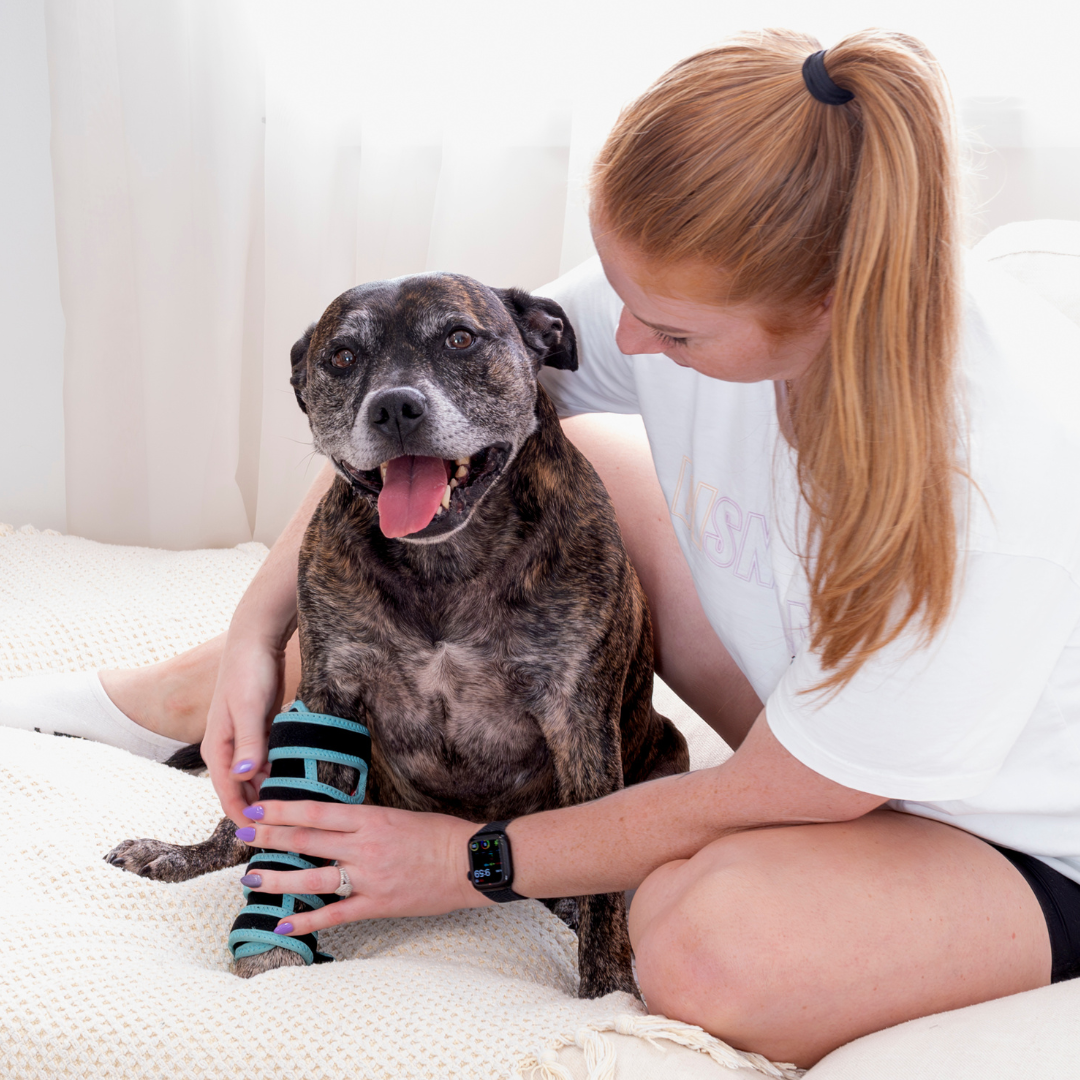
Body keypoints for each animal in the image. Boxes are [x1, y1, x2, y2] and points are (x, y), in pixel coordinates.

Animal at [105, 272, 686, 993]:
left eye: (460, 338)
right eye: (343, 357)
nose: (395, 408)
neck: (446, 562)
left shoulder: (577, 722)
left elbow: (605, 889)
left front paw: (607, 992)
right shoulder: (329, 697)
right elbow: (290, 835)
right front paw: (275, 938)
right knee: (242, 833)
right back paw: (174, 854)